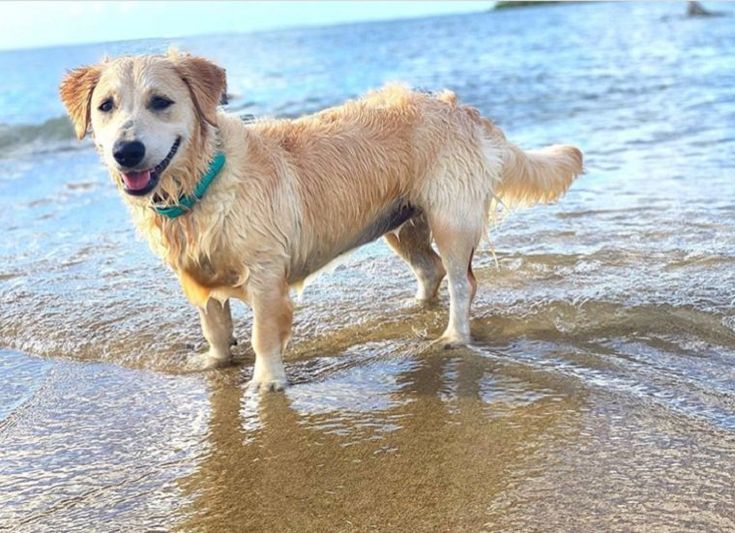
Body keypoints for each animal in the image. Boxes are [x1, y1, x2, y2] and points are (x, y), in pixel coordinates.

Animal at [60, 51, 584, 390]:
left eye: (161, 102)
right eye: (106, 106)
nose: (126, 151)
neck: (202, 181)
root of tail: (461, 108)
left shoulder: (265, 271)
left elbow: (263, 332)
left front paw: (266, 382)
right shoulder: (196, 274)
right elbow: (216, 328)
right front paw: (214, 362)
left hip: (449, 219)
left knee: (461, 281)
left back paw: (454, 335)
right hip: (402, 225)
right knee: (429, 269)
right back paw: (414, 309)